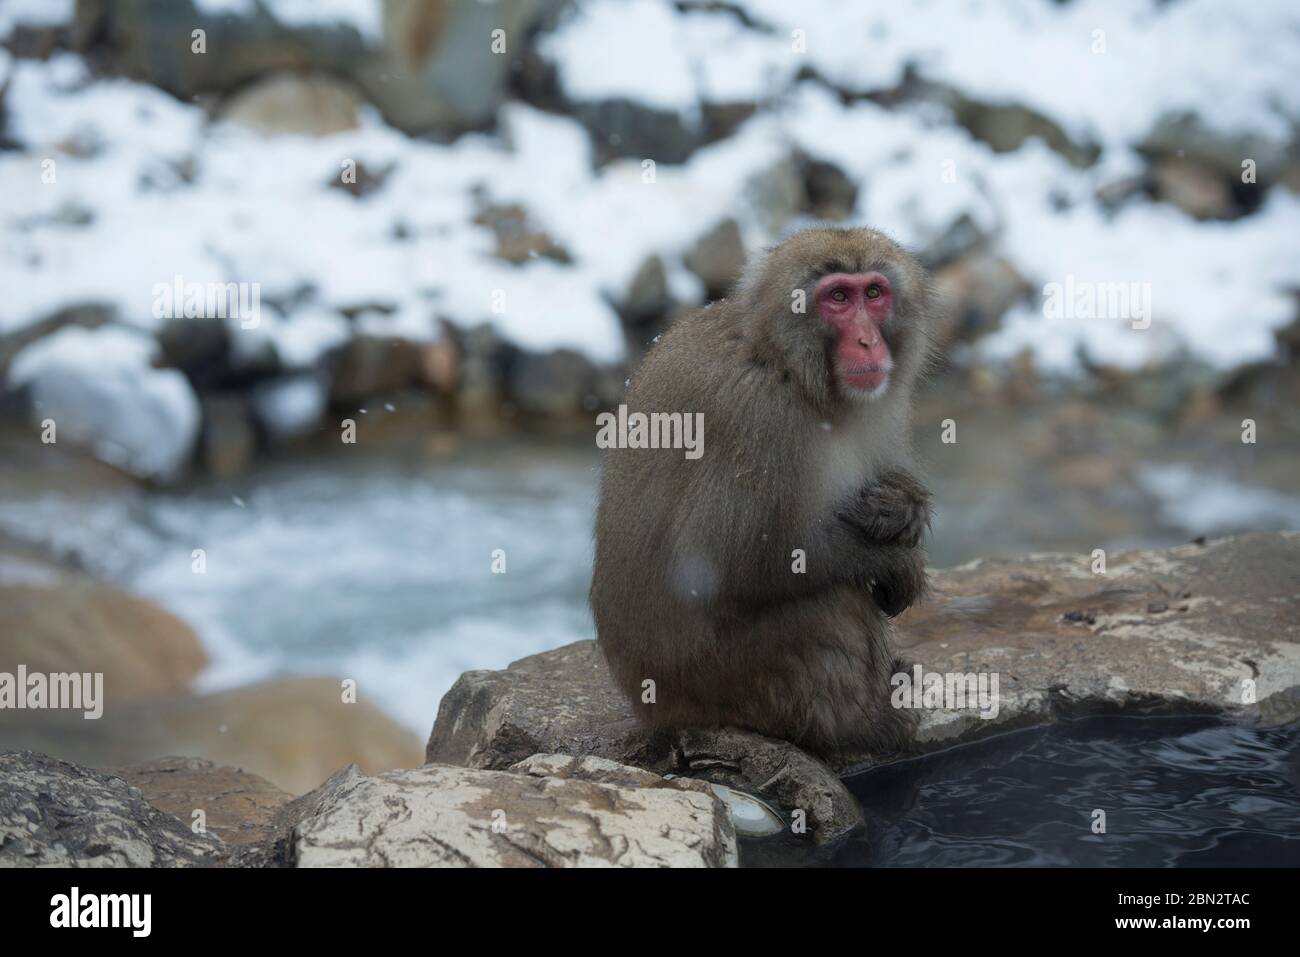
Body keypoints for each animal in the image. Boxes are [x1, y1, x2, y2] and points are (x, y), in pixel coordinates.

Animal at [595, 227, 941, 759]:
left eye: (873, 293)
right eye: (838, 298)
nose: (867, 340)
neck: (789, 367)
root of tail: (651, 710)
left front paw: (904, 509)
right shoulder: (760, 417)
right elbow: (722, 563)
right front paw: (898, 563)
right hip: (724, 683)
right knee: (831, 605)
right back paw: (865, 726)